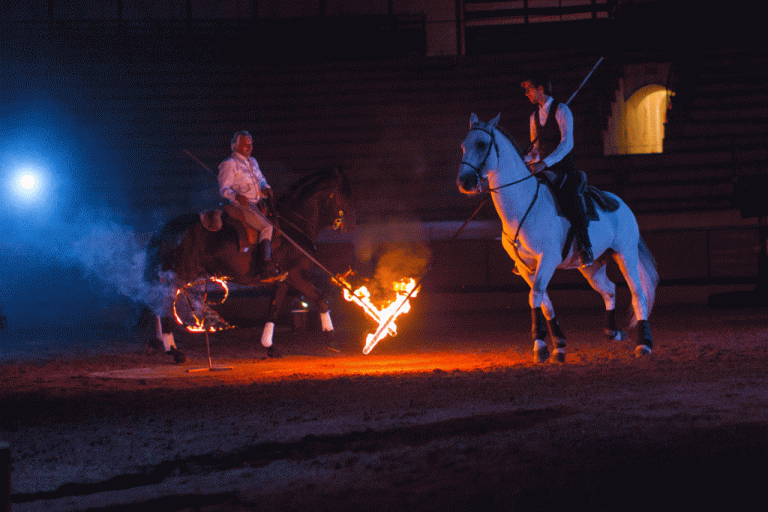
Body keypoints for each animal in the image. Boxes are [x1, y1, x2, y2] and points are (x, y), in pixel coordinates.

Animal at [143, 168, 354, 360]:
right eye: (343, 196)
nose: (349, 226)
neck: (292, 226)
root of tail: (164, 228)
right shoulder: (296, 275)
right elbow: (321, 299)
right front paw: (332, 340)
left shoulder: (283, 281)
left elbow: (273, 310)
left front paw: (269, 347)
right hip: (177, 276)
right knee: (164, 306)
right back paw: (174, 351)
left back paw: (159, 345)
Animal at [460, 113, 656, 360]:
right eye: (463, 146)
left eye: (481, 144)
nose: (464, 182)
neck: (523, 206)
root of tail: (621, 204)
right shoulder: (525, 266)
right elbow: (544, 301)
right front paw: (558, 344)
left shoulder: (548, 259)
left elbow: (535, 296)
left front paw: (541, 346)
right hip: (591, 267)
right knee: (609, 290)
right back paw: (613, 332)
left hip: (625, 254)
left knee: (638, 294)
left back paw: (644, 344)